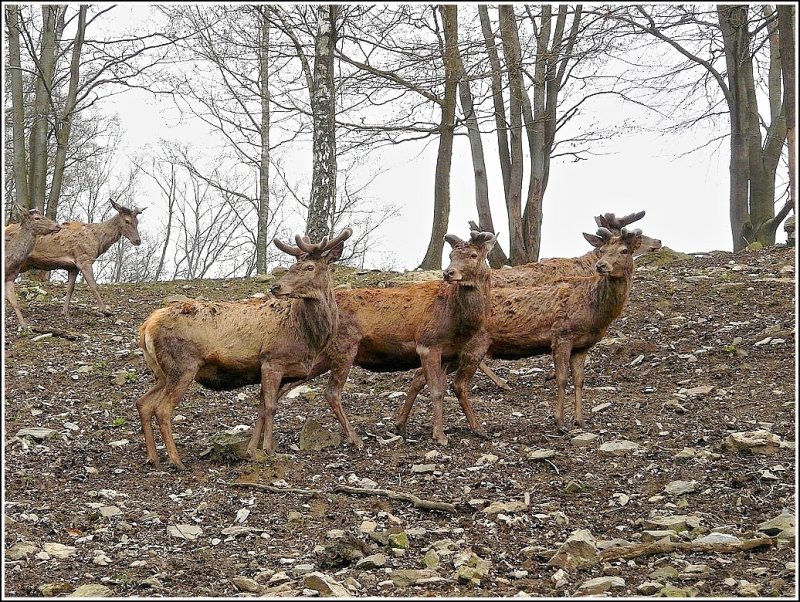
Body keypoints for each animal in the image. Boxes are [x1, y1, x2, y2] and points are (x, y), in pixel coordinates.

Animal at [6, 198, 145, 318]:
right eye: (127, 221)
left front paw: (65, 312)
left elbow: (70, 289)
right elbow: (93, 285)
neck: (98, 241)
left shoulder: (73, 266)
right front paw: (105, 310)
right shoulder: (84, 258)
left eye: (137, 222)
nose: (138, 241)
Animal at [136, 227, 352, 466]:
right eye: (291, 266)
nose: (276, 287)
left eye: (309, 267)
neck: (308, 337)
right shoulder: (272, 359)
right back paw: (176, 461)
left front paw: (250, 451)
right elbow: (271, 407)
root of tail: (146, 326)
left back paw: (153, 458)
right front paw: (268, 449)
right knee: (162, 408)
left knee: (143, 403)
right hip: (182, 364)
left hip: (161, 372)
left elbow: (261, 408)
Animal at [396, 227, 648, 434]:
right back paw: (477, 428)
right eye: (602, 250)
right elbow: (562, 378)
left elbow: (579, 380)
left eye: (624, 250)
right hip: (473, 346)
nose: (601, 265)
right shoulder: (562, 335)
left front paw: (581, 421)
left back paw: (400, 424)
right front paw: (560, 422)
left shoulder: (582, 345)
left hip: (452, 352)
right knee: (457, 385)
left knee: (420, 375)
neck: (594, 310)